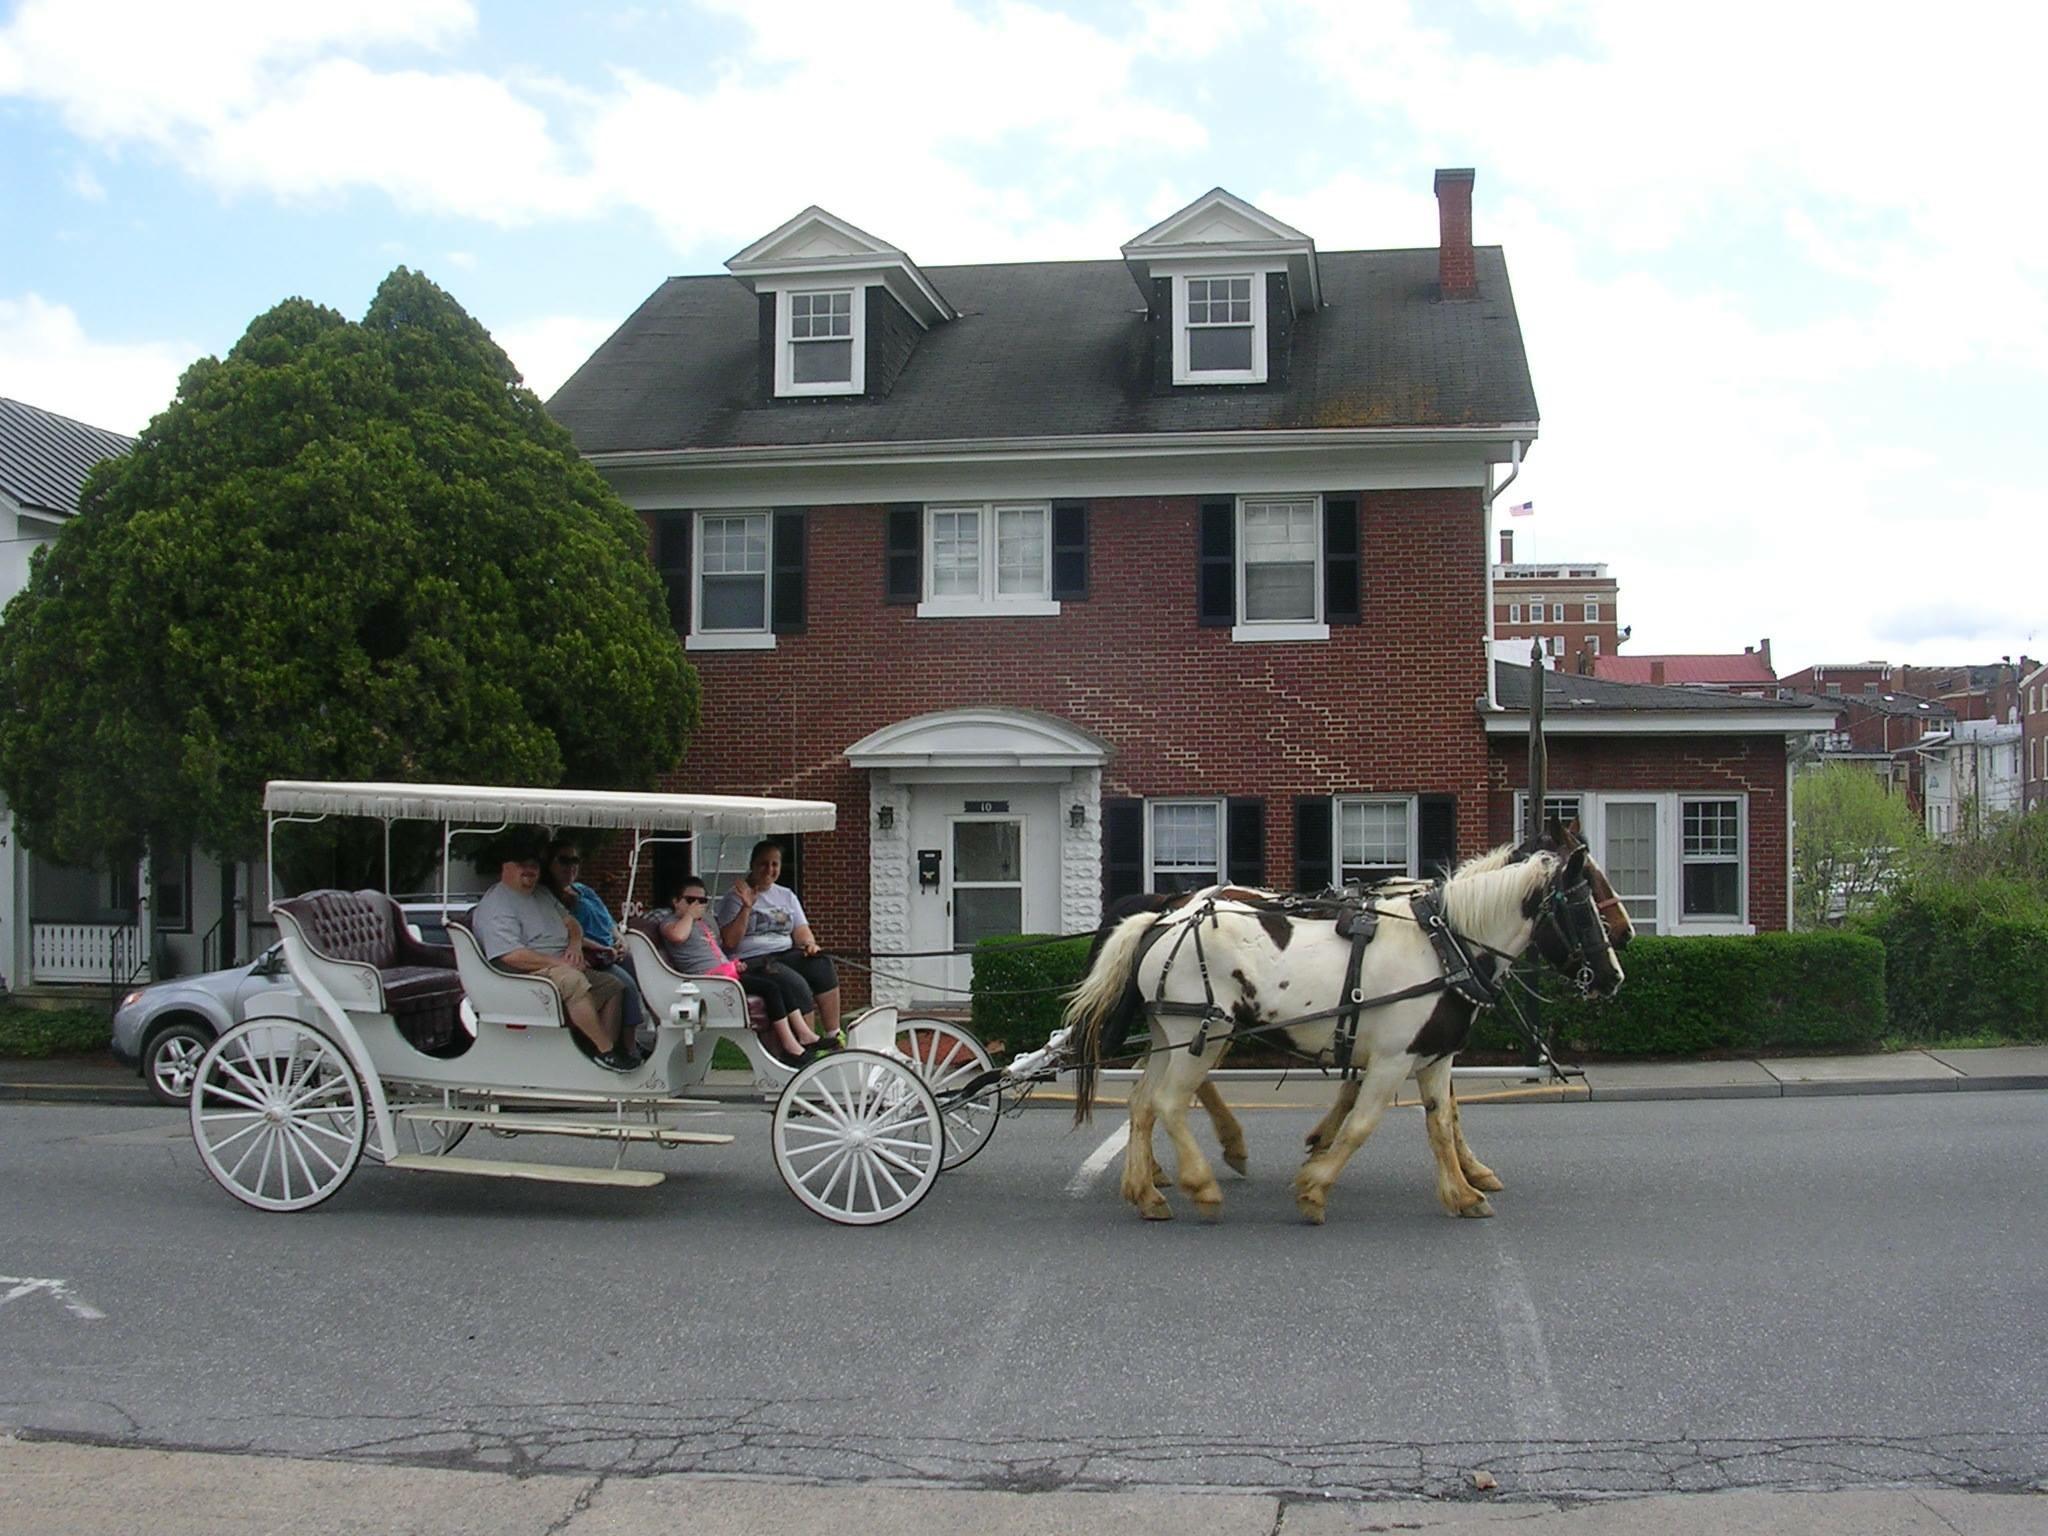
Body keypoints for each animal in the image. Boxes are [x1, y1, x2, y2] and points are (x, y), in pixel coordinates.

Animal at [1064, 831, 1622, 1228]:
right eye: (1584, 904)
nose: (1614, 975)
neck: (1444, 945)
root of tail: (1163, 918)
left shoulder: (1433, 1056)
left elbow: (1441, 1123)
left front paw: (1465, 1192)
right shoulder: (1393, 1058)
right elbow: (1362, 1123)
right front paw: (1313, 1187)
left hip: (1171, 1035)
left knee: (1142, 1104)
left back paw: (1147, 1191)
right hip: (1203, 1037)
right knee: (1169, 1103)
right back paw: (1203, 1183)